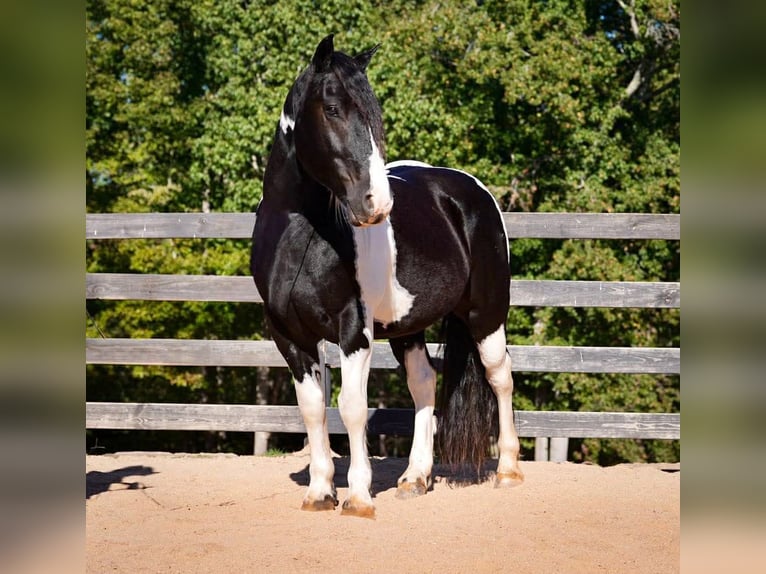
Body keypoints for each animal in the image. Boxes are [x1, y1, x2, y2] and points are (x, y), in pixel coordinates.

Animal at [250, 35, 523, 518]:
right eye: (332, 108)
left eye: (374, 114)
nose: (376, 204)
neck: (300, 235)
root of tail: (471, 191)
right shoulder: (288, 334)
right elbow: (313, 408)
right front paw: (320, 492)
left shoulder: (353, 329)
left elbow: (352, 407)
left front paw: (358, 497)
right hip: (406, 326)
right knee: (424, 383)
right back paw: (415, 478)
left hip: (486, 313)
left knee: (500, 376)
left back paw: (508, 470)